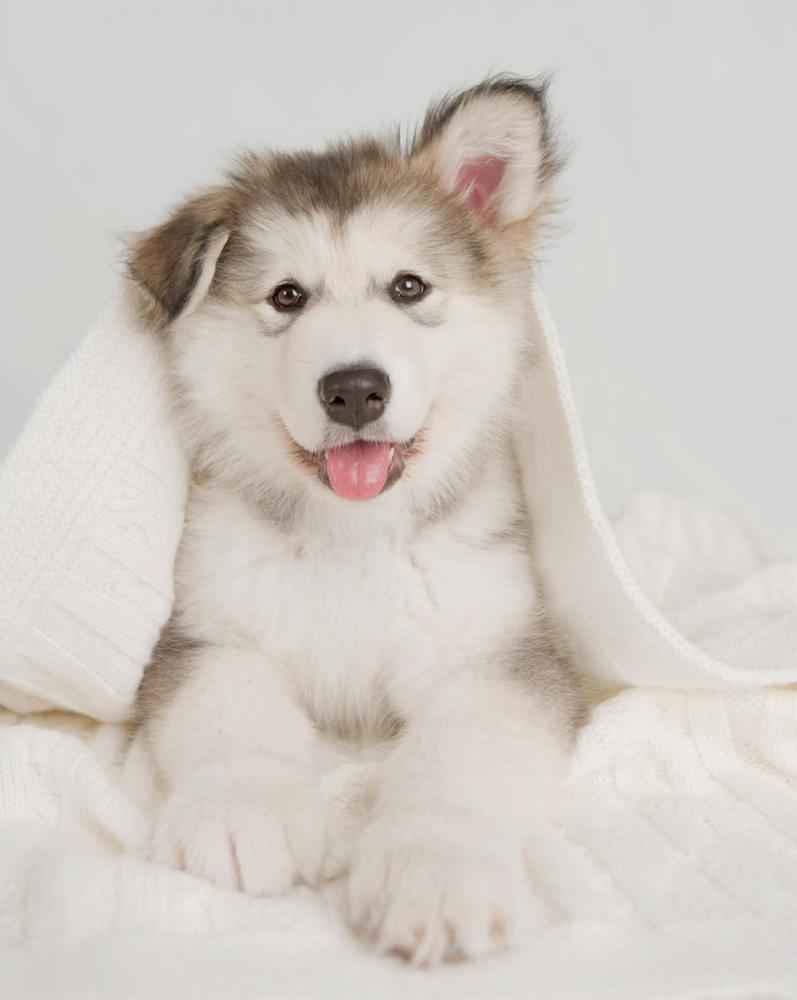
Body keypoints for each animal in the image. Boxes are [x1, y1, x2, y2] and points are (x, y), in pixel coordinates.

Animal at [128, 74, 584, 966]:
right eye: (287, 297)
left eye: (408, 287)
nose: (352, 390)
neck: (354, 538)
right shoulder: (200, 633)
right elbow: (233, 702)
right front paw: (242, 808)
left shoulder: (502, 657)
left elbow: (457, 754)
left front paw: (433, 868)